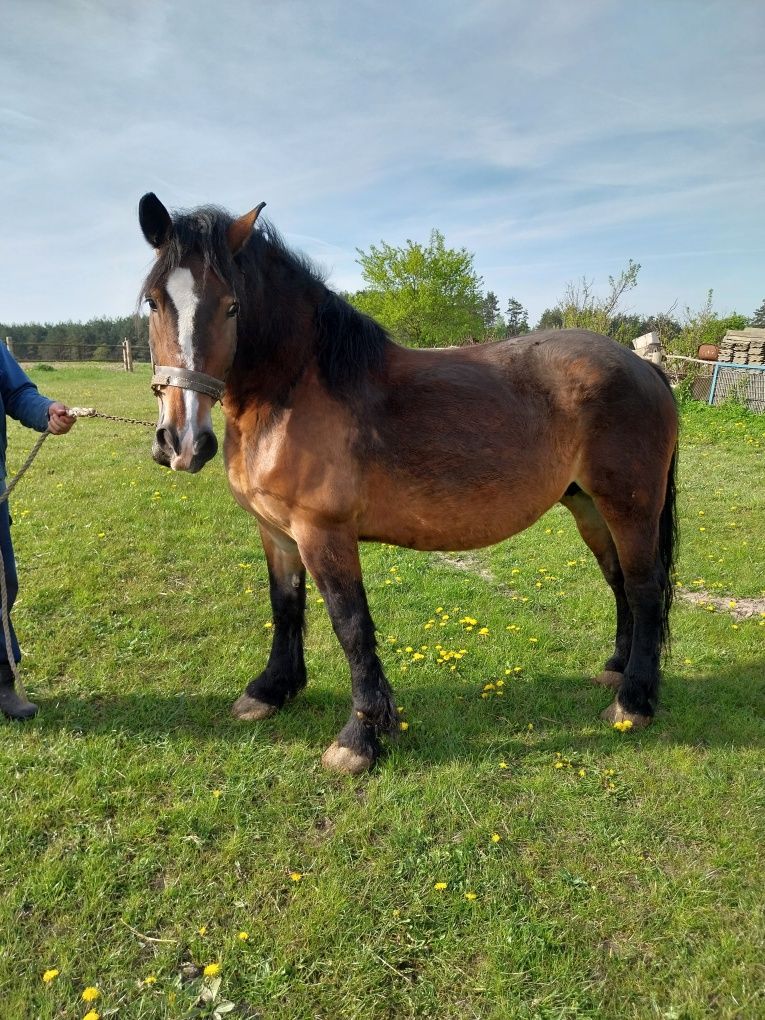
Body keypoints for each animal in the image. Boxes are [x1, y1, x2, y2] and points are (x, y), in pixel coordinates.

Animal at [140, 192, 681, 771]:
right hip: (587, 506)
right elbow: (285, 606)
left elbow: (351, 625)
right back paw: (616, 669)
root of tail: (644, 368)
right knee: (619, 581)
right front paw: (270, 690)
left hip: (630, 507)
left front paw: (361, 737)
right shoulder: (277, 532)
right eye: (153, 302)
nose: (181, 442)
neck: (296, 389)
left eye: (232, 306)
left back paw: (633, 702)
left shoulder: (323, 533)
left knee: (645, 587)